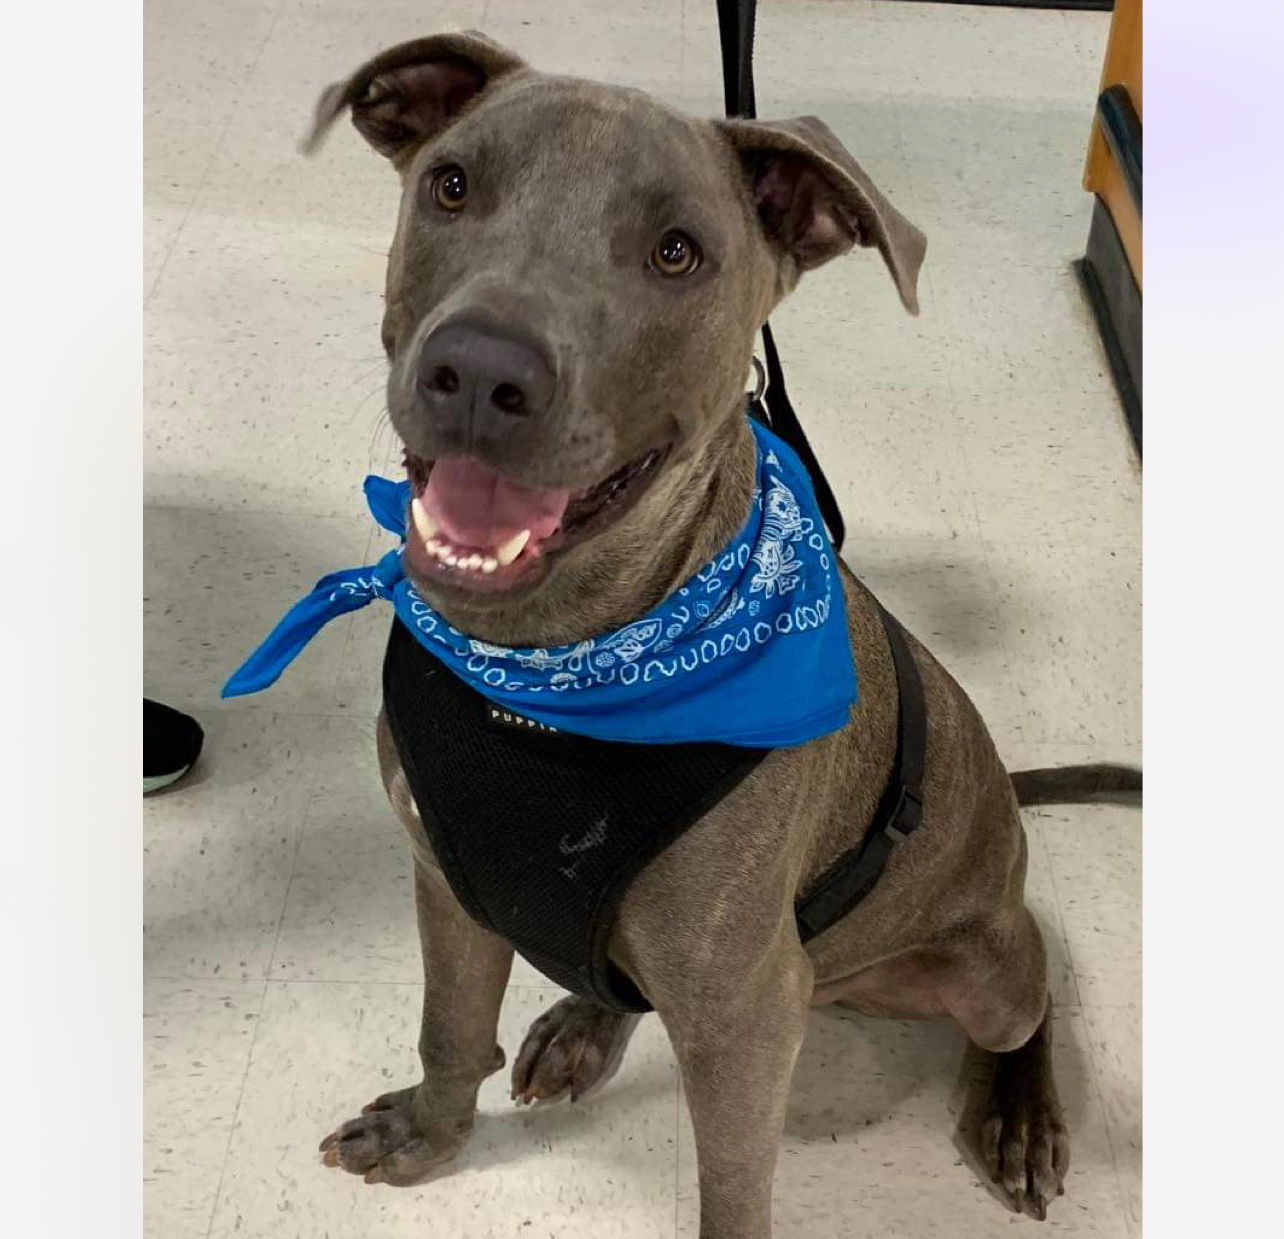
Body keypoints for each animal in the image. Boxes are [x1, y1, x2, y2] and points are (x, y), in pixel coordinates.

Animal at [303, 33, 1145, 1232]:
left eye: (676, 252)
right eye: (452, 185)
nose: (478, 369)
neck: (548, 680)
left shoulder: (746, 1017)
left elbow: (734, 1188)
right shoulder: (446, 881)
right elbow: (449, 1029)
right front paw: (427, 1137)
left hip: (977, 967)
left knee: (1032, 993)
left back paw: (1020, 1111)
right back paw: (584, 1021)